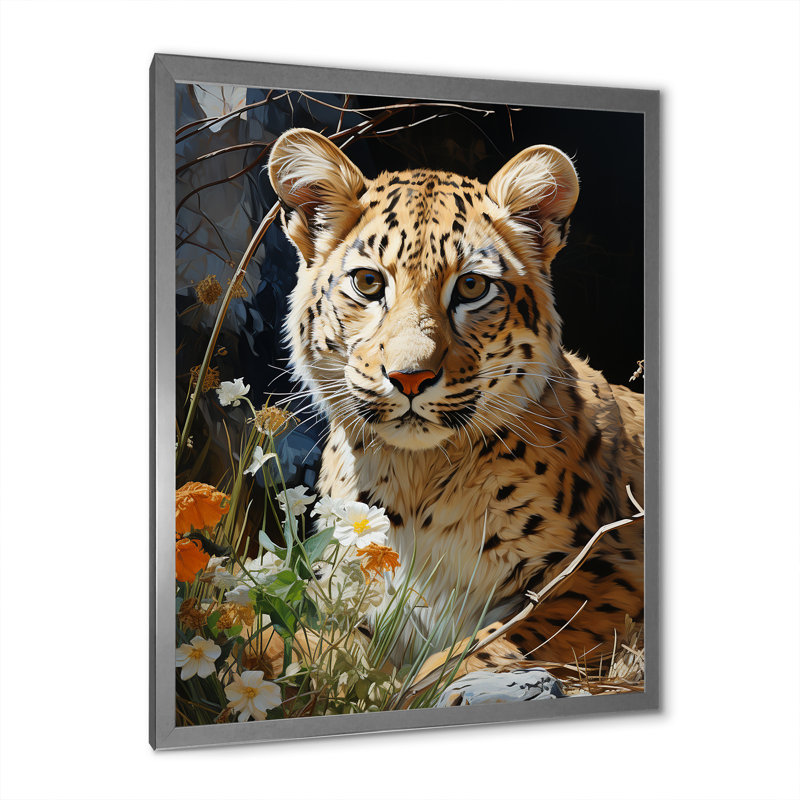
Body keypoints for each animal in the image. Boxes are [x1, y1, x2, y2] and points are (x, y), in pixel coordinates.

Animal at [267, 128, 644, 670]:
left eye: (470, 286)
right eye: (368, 282)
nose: (409, 378)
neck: (413, 479)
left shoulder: (607, 574)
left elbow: (483, 646)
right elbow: (290, 633)